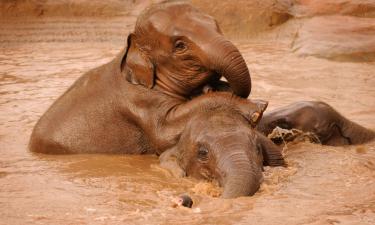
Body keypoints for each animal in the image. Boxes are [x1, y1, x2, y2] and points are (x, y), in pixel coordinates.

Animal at [28, 1, 262, 155]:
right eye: (180, 46)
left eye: (216, 24)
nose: (212, 86)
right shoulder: (138, 101)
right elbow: (165, 133)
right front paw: (258, 107)